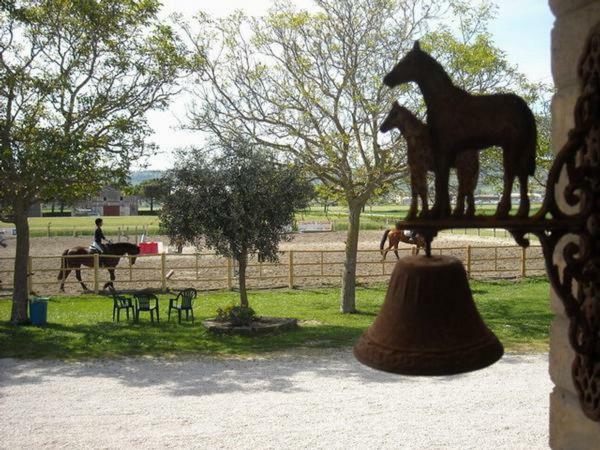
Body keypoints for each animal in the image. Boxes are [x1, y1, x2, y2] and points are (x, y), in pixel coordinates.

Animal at [382, 40, 536, 220]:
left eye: (406, 61)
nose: (387, 79)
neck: (443, 100)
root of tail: (524, 107)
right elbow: (441, 181)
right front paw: (442, 211)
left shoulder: (442, 150)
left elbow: (440, 181)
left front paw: (437, 211)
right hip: (519, 148)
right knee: (521, 174)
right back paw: (521, 211)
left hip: (512, 146)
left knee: (510, 174)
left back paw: (503, 210)